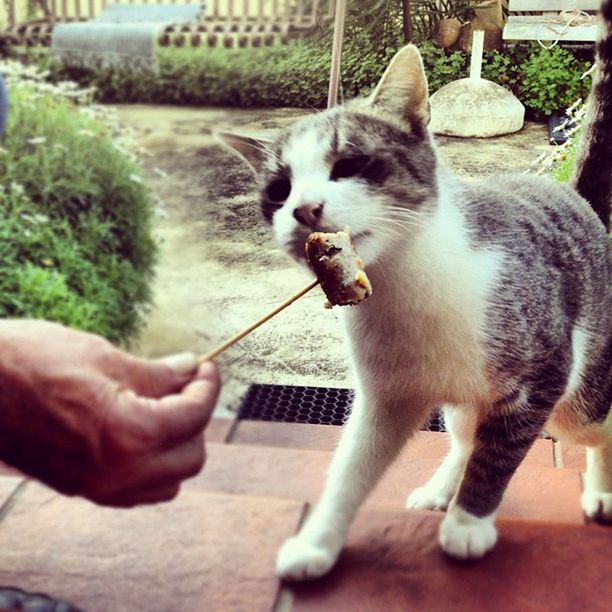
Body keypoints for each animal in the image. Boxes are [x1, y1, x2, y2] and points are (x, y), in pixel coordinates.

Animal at [218, 1, 608, 584]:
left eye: (348, 165)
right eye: (279, 191)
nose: (304, 209)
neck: (401, 279)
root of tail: (572, 195)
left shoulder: (540, 375)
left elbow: (498, 457)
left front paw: (469, 524)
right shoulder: (388, 395)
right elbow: (351, 468)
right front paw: (317, 543)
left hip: (578, 400)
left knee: (592, 433)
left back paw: (599, 490)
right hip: (465, 400)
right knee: (467, 435)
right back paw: (442, 486)